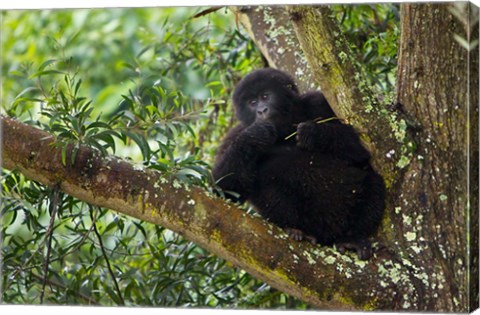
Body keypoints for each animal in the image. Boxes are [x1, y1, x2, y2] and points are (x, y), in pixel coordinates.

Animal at [212, 68, 384, 260]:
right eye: (252, 102)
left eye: (265, 96)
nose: (261, 110)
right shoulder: (235, 134)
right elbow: (224, 189)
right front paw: (254, 135)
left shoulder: (318, 102)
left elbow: (361, 152)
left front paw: (315, 134)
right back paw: (295, 230)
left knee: (372, 180)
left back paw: (352, 238)